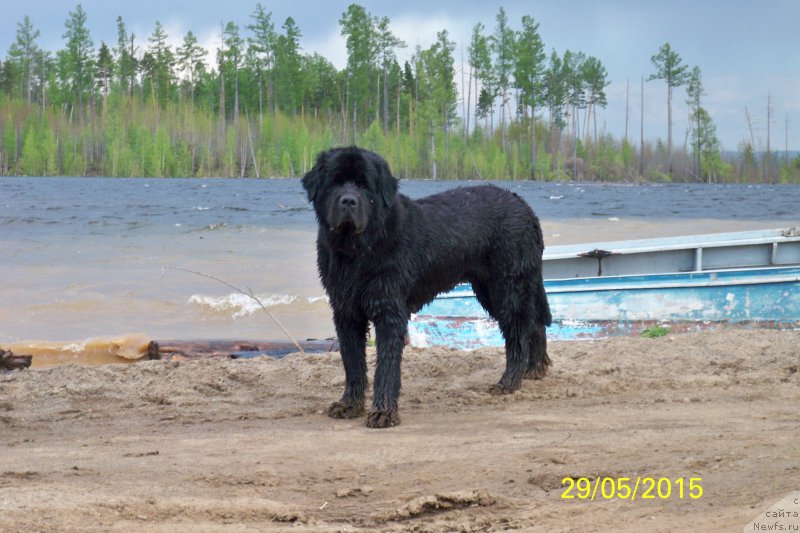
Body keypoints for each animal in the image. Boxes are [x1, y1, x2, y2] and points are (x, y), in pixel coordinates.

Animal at [300, 147, 552, 428]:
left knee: (518, 331)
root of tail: (524, 205)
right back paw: (534, 369)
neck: (357, 252)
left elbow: (386, 365)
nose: (348, 201)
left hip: (506, 287)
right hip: (492, 289)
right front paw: (349, 405)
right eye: (335, 182)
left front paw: (383, 412)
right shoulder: (346, 311)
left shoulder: (389, 310)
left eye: (365, 186)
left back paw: (509, 381)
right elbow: (352, 362)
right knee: (533, 323)